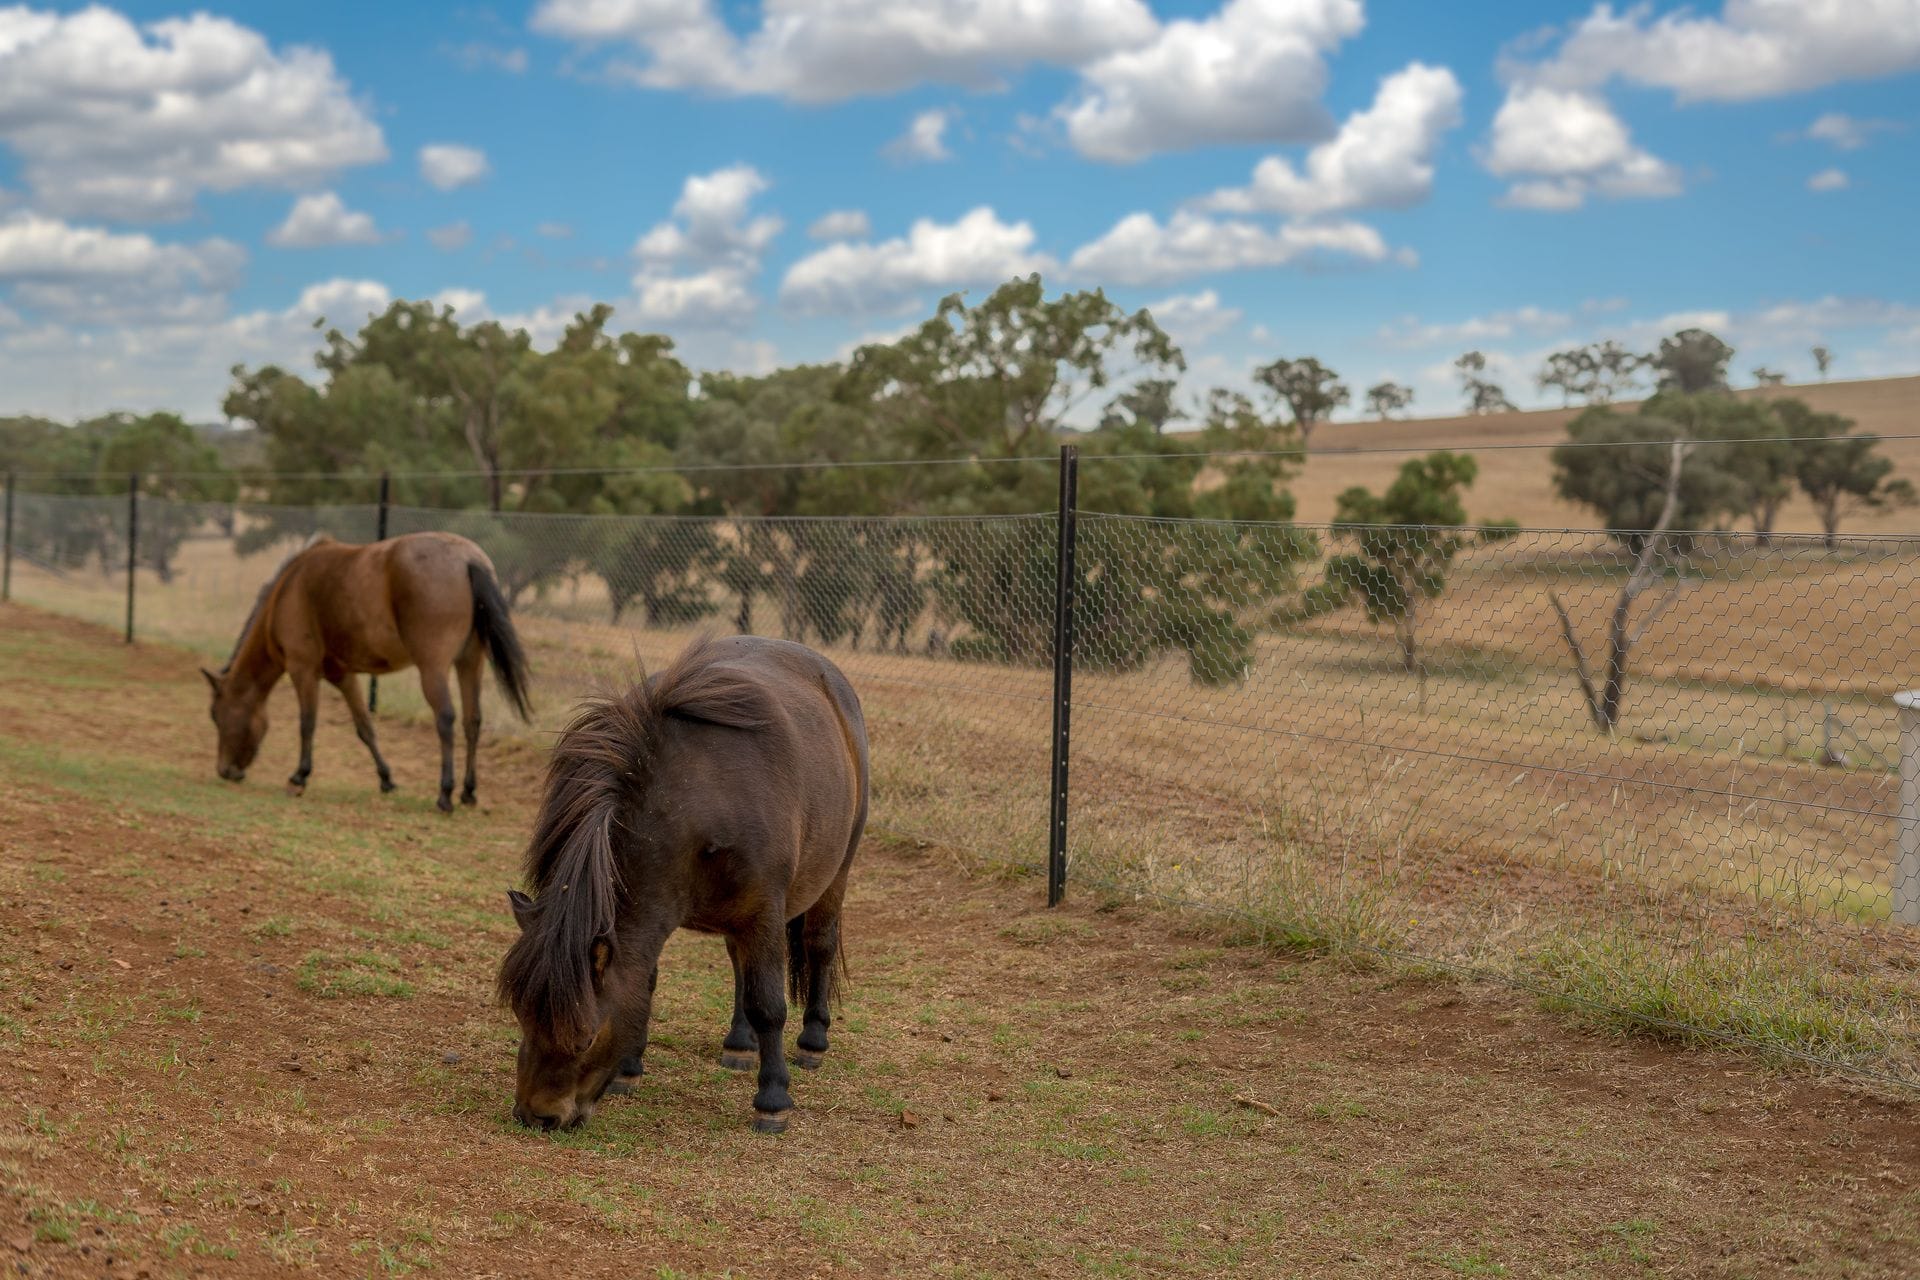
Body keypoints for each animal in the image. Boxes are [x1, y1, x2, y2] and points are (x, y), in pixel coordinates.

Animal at [204, 529, 533, 809]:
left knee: (446, 718)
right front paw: (386, 779)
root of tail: (468, 559)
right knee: (472, 720)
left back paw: (445, 794)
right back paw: (468, 792)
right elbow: (364, 727)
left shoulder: (303, 668)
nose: (224, 770)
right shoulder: (343, 675)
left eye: (217, 716)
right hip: (470, 662)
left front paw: (299, 777)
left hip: (433, 668)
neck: (287, 591)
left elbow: (307, 723)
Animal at [503, 637, 879, 1136]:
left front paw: (773, 1099)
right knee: (739, 963)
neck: (691, 803)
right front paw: (629, 1070)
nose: (537, 1116)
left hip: (835, 874)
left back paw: (812, 1041)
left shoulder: (764, 909)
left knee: (819, 944)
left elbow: (768, 1004)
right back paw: (740, 1042)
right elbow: (647, 984)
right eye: (521, 1017)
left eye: (586, 1038)